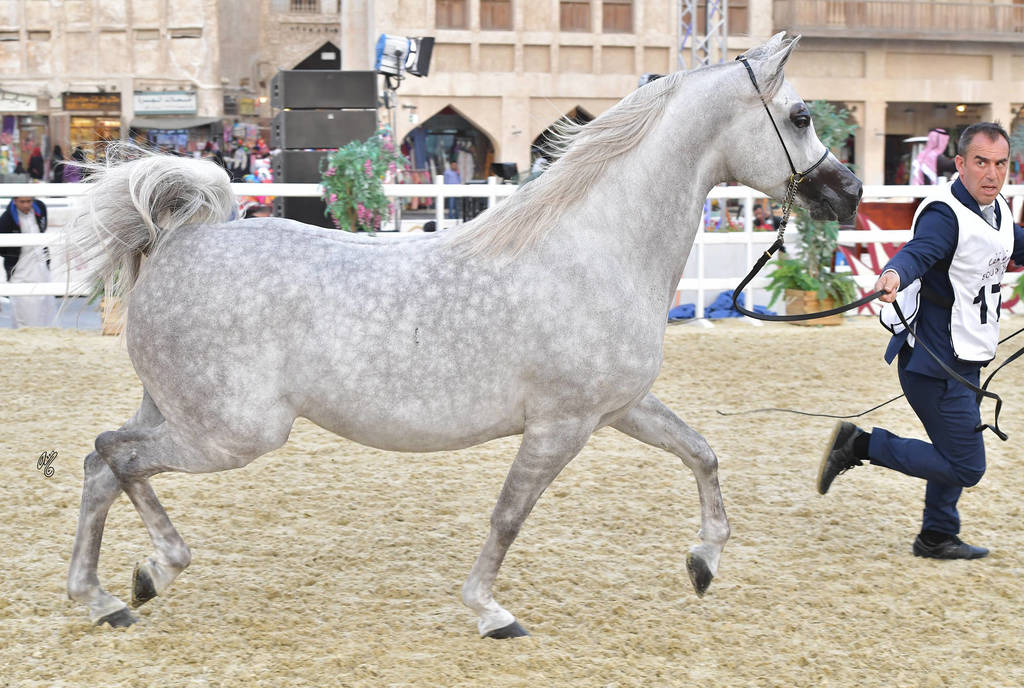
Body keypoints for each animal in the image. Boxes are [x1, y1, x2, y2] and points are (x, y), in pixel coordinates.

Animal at [66, 33, 861, 637]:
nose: (849, 192)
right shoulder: (561, 426)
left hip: (177, 412)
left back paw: (107, 596)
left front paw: (704, 562)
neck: (597, 248)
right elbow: (508, 516)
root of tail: (177, 242)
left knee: (100, 464)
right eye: (799, 116)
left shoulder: (620, 408)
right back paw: (147, 575)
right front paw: (489, 611)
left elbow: (703, 454)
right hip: (232, 434)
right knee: (116, 456)